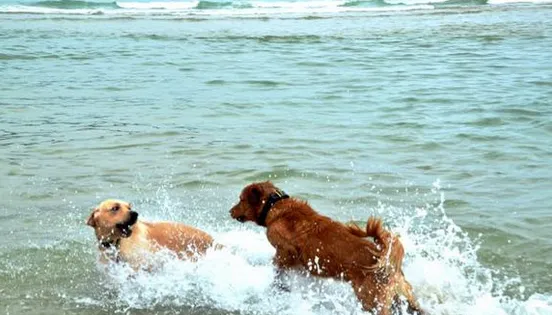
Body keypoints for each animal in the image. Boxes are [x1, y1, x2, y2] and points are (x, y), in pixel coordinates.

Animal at [229, 183, 422, 315]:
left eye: (241, 200)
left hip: (371, 300)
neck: (273, 206)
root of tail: (387, 263)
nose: (230, 211)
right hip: (406, 297)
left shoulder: (285, 251)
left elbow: (279, 264)